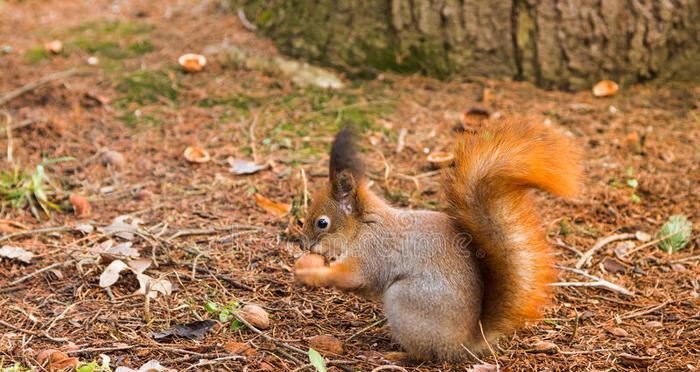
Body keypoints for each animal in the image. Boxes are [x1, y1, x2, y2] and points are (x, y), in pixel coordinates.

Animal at [292, 121, 584, 360]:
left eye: (322, 223)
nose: (304, 245)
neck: (364, 226)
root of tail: (464, 342)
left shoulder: (372, 252)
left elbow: (351, 276)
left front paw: (312, 272)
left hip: (406, 301)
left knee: (425, 354)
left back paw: (397, 355)